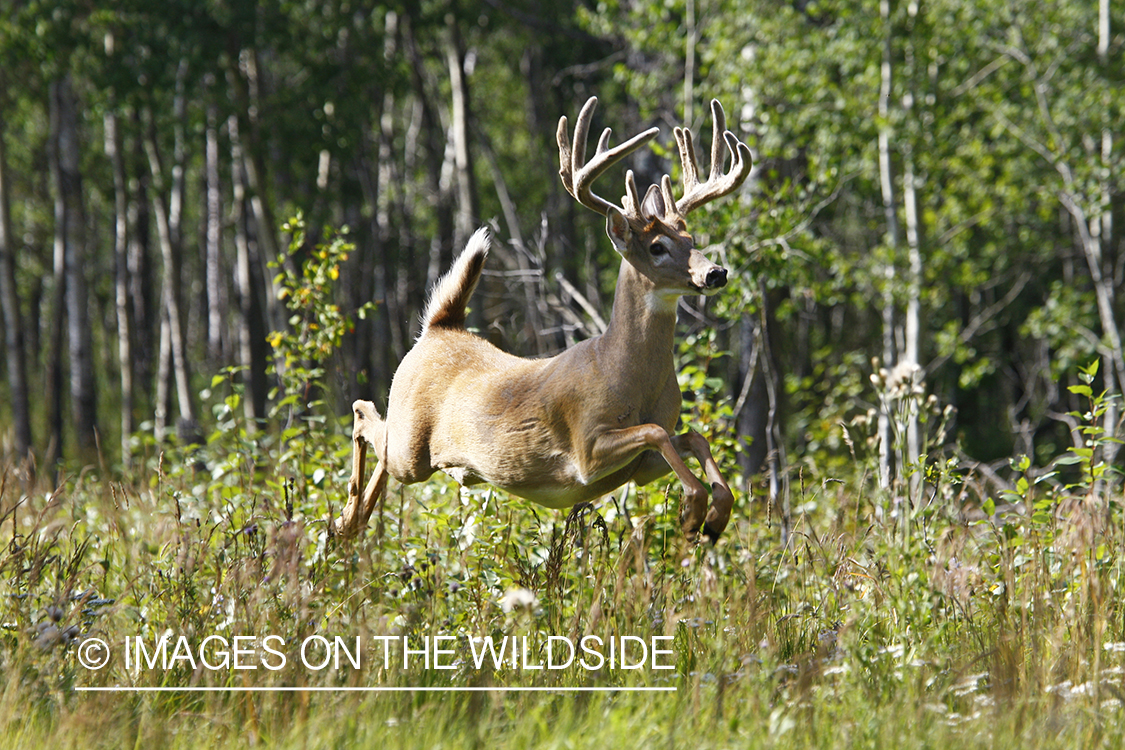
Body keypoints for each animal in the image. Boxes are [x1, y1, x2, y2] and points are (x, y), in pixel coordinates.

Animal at [335, 96, 756, 546]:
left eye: (692, 240)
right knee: (363, 413)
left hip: (410, 452)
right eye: (657, 246)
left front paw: (712, 518)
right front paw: (693, 510)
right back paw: (346, 517)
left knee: (377, 443)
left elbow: (693, 437)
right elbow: (657, 433)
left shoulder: (638, 469)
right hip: (411, 446)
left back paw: (350, 523)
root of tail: (438, 327)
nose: (716, 273)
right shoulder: (586, 448)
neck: (625, 374)